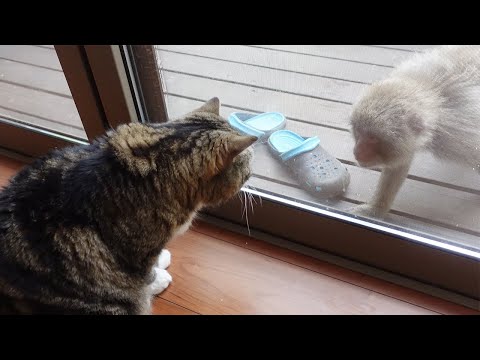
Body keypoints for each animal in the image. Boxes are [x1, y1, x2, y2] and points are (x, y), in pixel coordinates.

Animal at [348, 46, 480, 218]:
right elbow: (399, 165)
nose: (357, 151)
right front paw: (375, 209)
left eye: (372, 138)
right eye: (359, 131)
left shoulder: (457, 139)